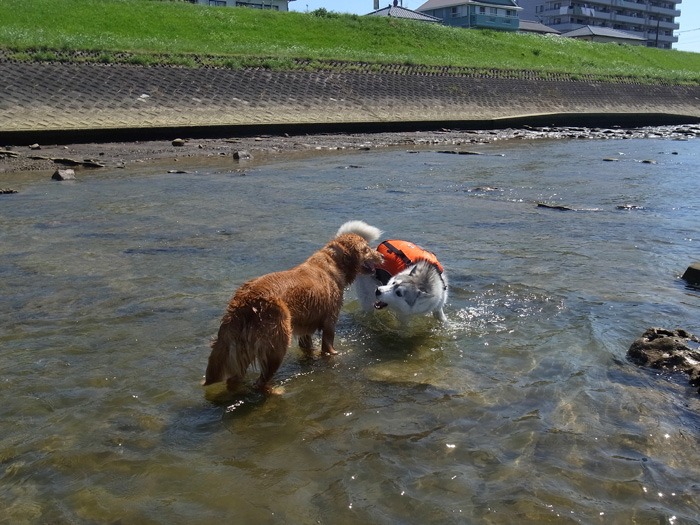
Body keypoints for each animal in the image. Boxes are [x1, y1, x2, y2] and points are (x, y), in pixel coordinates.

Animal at [202, 220, 382, 392]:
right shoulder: (330, 322)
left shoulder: (306, 328)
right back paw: (276, 390)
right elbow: (328, 349)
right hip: (278, 341)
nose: (381, 255)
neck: (332, 263)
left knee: (235, 379)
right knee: (261, 381)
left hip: (243, 347)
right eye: (366, 249)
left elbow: (308, 347)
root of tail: (244, 302)